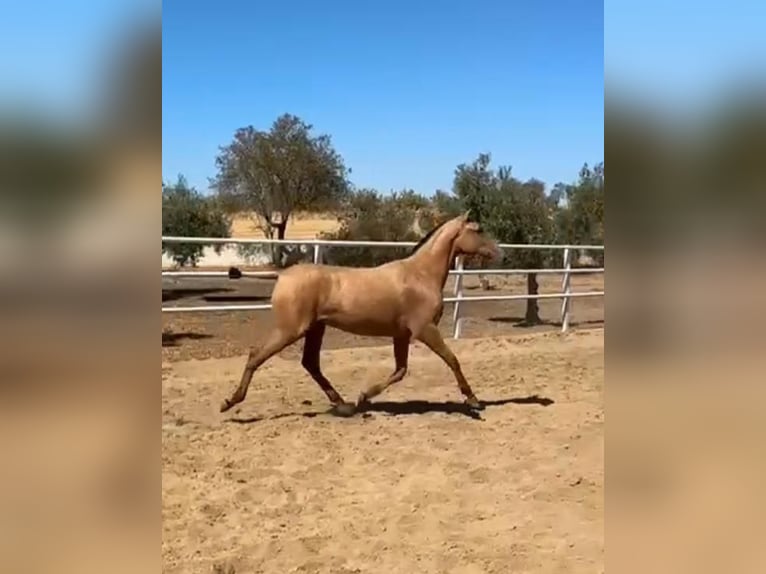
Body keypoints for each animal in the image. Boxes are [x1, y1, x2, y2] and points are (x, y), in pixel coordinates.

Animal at [219, 212, 500, 418]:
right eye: (478, 230)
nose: (499, 252)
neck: (420, 275)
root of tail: (283, 275)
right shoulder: (426, 330)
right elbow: (452, 360)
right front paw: (474, 401)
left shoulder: (401, 335)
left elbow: (400, 370)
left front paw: (364, 397)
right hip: (291, 329)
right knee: (256, 355)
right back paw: (229, 402)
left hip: (315, 328)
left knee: (310, 363)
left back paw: (344, 405)